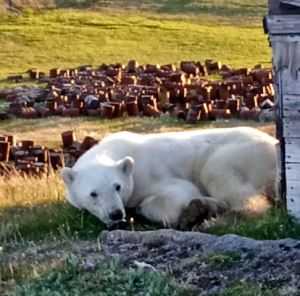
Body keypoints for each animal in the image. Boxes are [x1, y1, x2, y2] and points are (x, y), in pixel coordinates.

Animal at [61, 126, 278, 227]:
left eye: (117, 186)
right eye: (93, 194)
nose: (115, 214)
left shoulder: (149, 173)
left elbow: (179, 193)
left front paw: (140, 210)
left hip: (241, 153)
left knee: (218, 173)